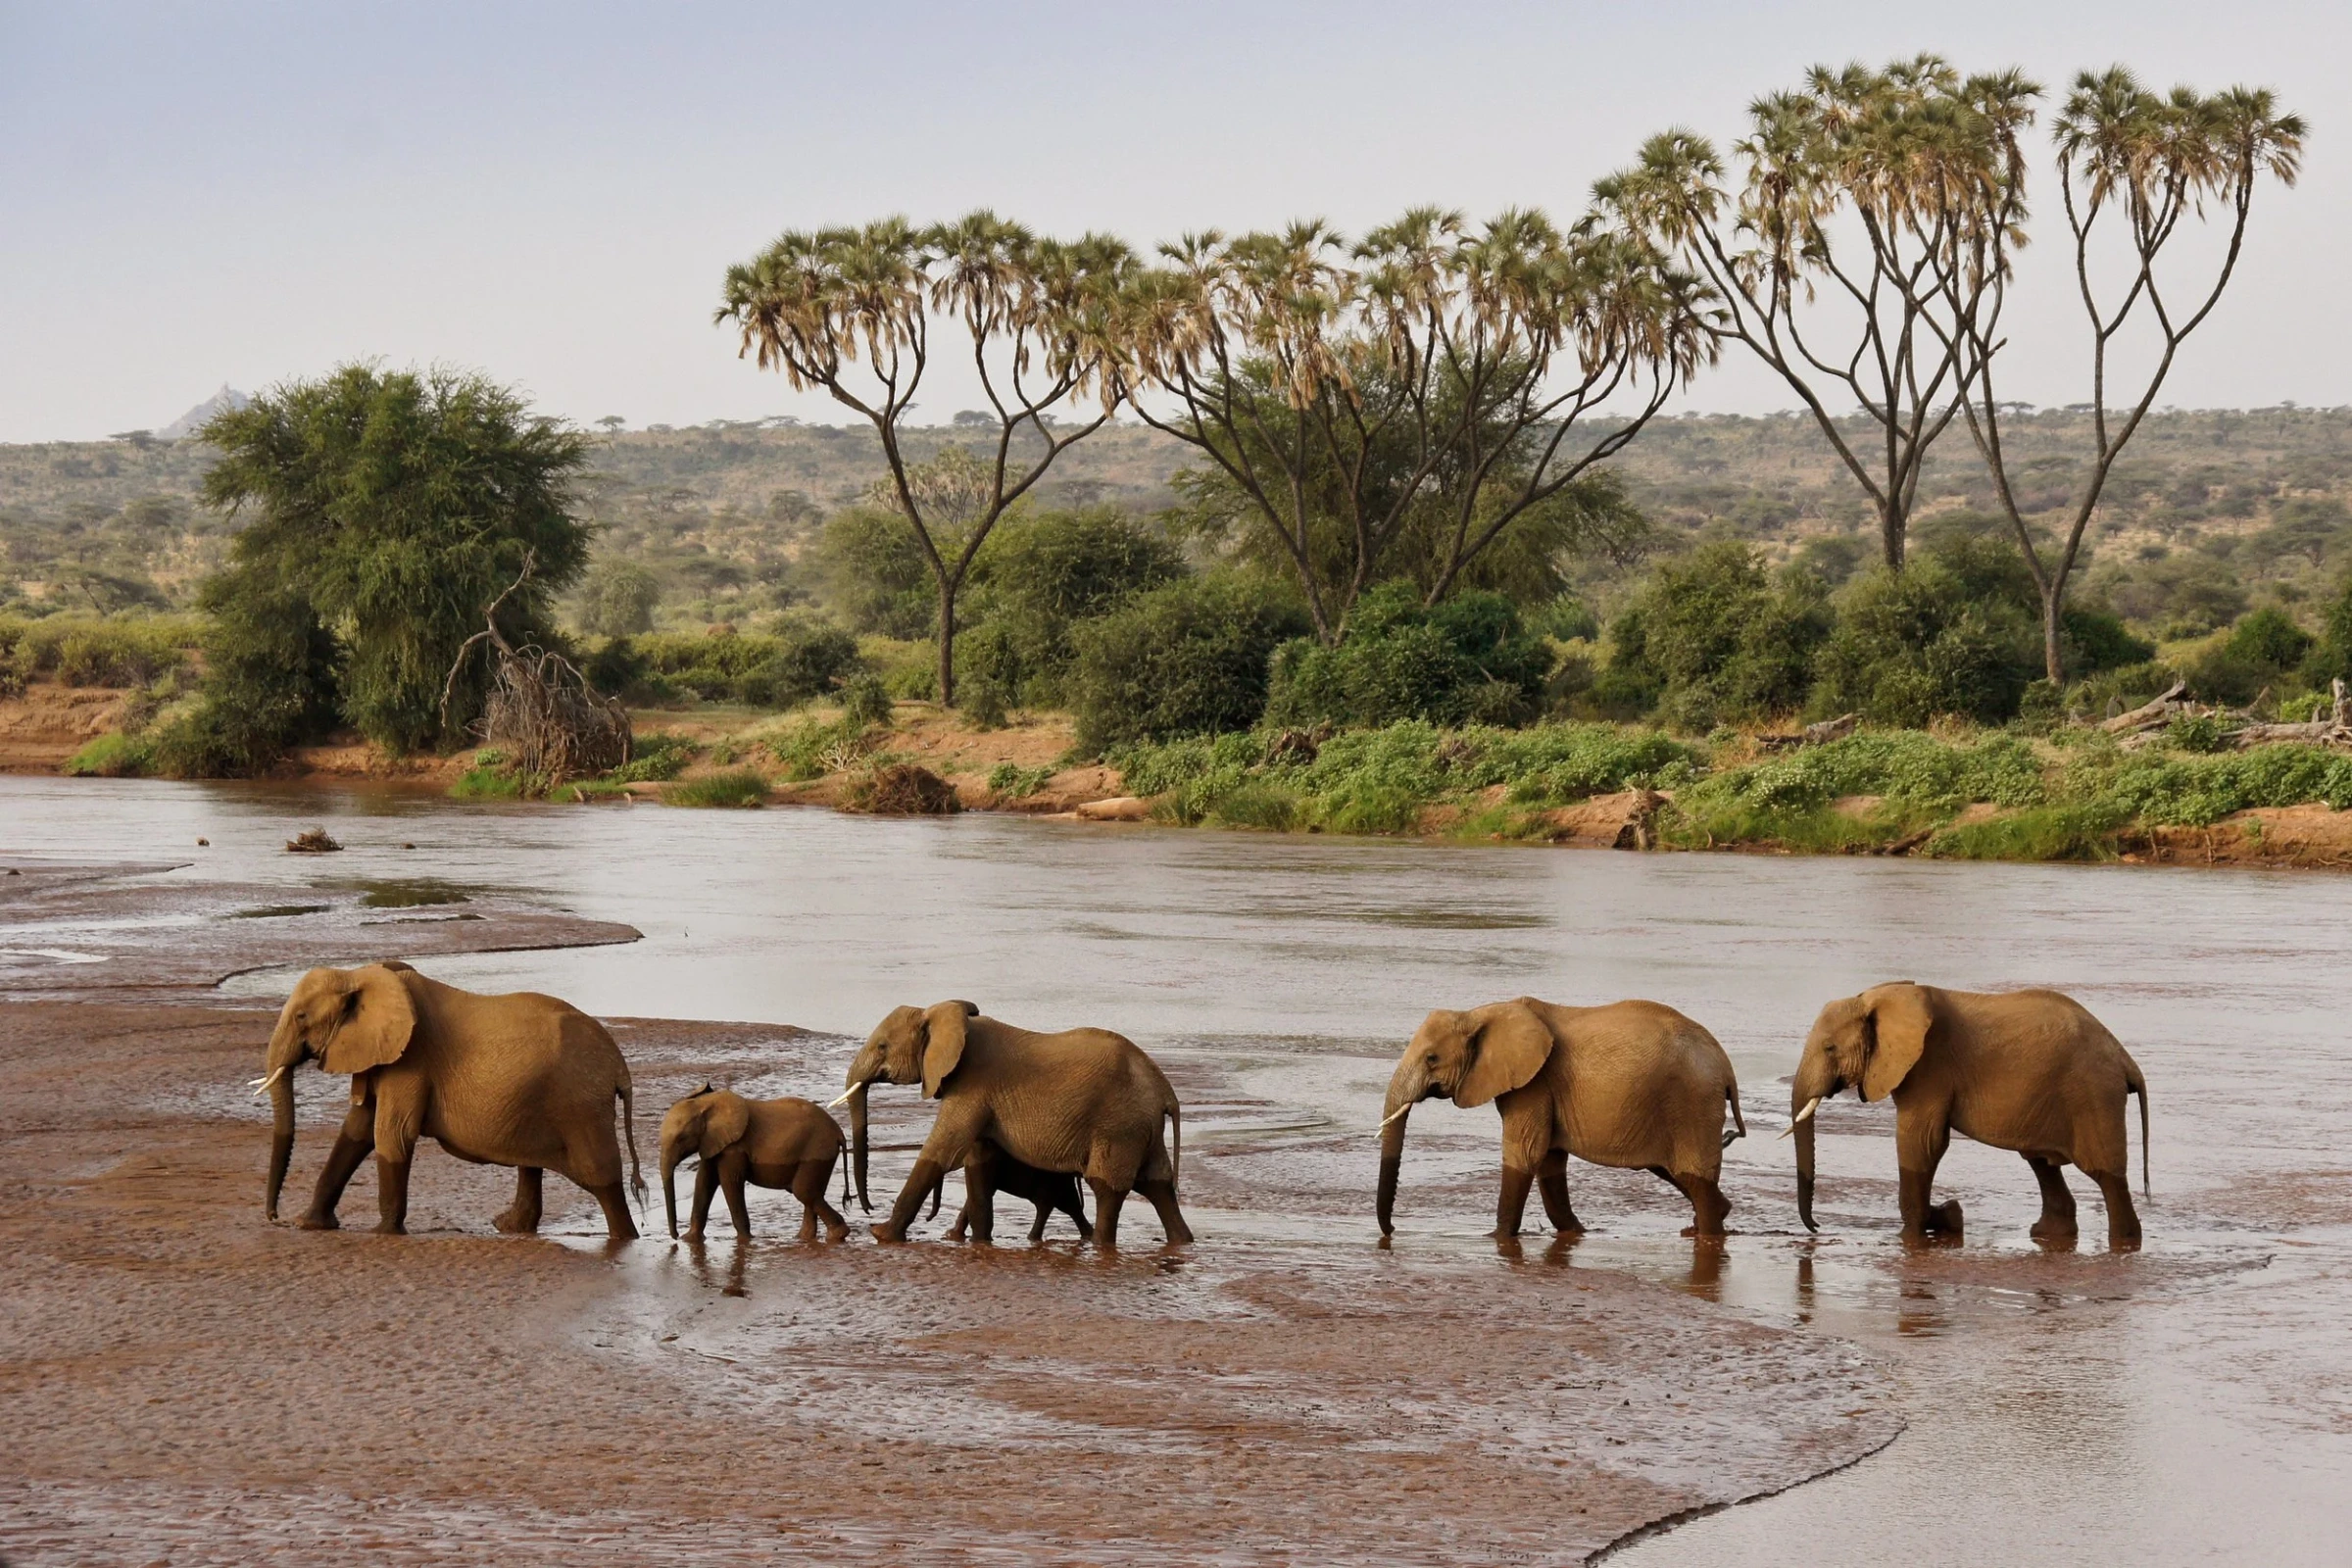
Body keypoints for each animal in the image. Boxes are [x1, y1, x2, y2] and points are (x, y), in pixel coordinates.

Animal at [258, 961, 644, 1238]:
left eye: (301, 1016)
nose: (273, 1217)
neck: (359, 975)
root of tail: (619, 1066)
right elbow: (356, 1131)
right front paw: (309, 1225)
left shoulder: (412, 1059)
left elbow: (392, 1134)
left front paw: (384, 1234)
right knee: (531, 1163)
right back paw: (508, 1228)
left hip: (581, 1105)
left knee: (602, 1177)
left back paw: (625, 1240)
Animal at [659, 1084, 851, 1243]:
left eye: (680, 1139)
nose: (675, 1236)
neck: (706, 1103)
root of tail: (839, 1133)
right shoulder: (712, 1142)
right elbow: (704, 1182)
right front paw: (689, 1240)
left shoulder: (734, 1147)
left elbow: (730, 1183)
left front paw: (745, 1240)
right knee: (811, 1193)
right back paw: (803, 1238)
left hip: (817, 1152)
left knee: (804, 1191)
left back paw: (837, 1235)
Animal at [841, 1000, 1190, 1248]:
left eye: (882, 1047)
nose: (866, 1208)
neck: (941, 1013)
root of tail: (1166, 1092)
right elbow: (979, 1163)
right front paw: (979, 1243)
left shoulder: (972, 1085)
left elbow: (942, 1149)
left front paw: (881, 1235)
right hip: (1141, 1128)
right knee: (1157, 1184)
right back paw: (1182, 1242)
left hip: (1118, 1128)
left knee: (1107, 1187)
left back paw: (1101, 1246)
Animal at [1378, 998, 1745, 1239]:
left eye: (1431, 1058)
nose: (1393, 1230)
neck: (1479, 1013)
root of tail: (1727, 1067)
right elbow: (1549, 1160)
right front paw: (1574, 1233)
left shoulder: (1535, 1083)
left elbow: (1525, 1154)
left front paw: (1497, 1238)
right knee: (1676, 1172)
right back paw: (1709, 1220)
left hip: (1692, 1104)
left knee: (1693, 1175)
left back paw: (1709, 1232)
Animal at [1788, 982, 2150, 1250]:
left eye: (1829, 1048)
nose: (1817, 1227)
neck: (1877, 998)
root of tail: (2125, 1059)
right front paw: (1949, 1216)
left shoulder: (1929, 1066)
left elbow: (1922, 1142)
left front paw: (1920, 1231)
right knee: (2041, 1162)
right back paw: (2048, 1234)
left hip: (2093, 1095)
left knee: (2104, 1173)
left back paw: (2124, 1241)